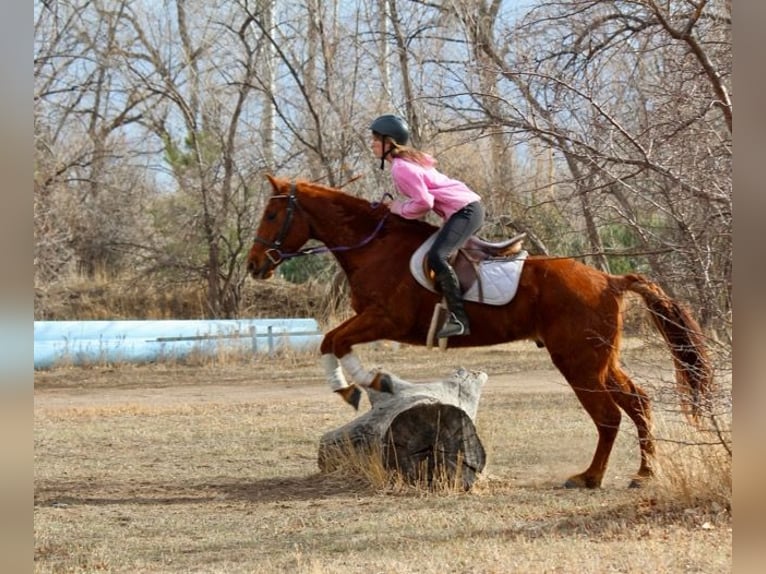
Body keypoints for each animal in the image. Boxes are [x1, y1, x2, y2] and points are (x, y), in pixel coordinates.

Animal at [249, 176, 716, 490]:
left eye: (272, 214)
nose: (255, 265)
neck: (373, 246)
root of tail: (610, 280)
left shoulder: (386, 319)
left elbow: (333, 340)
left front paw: (358, 385)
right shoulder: (375, 321)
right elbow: (333, 340)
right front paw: (368, 383)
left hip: (579, 363)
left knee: (609, 416)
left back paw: (591, 477)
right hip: (601, 360)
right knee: (637, 402)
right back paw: (642, 473)